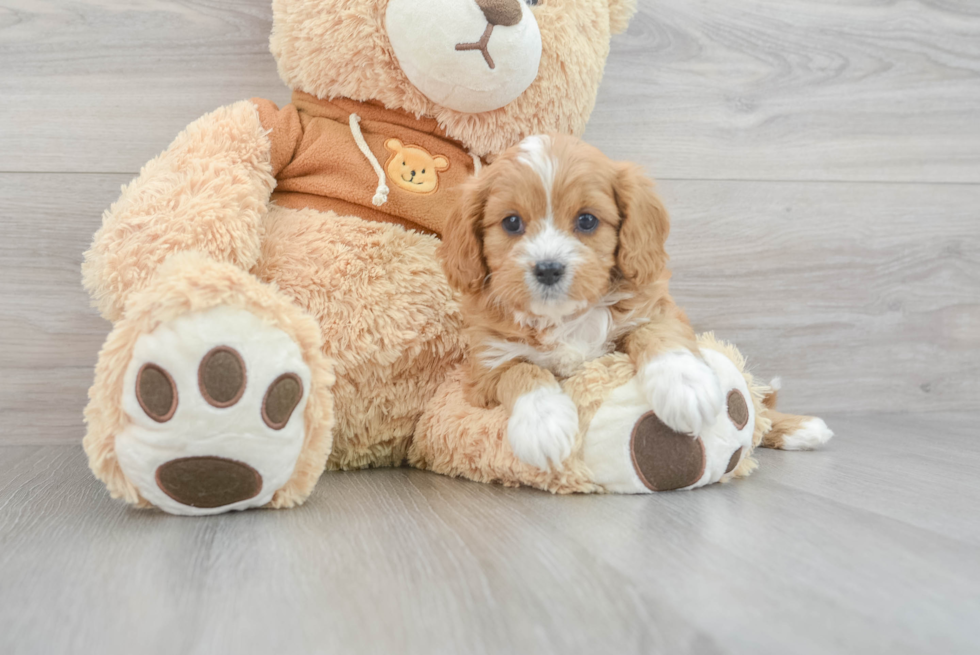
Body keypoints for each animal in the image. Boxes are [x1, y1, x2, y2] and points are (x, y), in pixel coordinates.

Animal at [440, 135, 724, 472]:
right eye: (511, 223)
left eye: (587, 220)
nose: (548, 268)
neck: (564, 318)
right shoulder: (485, 368)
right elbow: (519, 371)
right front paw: (542, 424)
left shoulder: (655, 308)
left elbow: (656, 333)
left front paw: (685, 385)